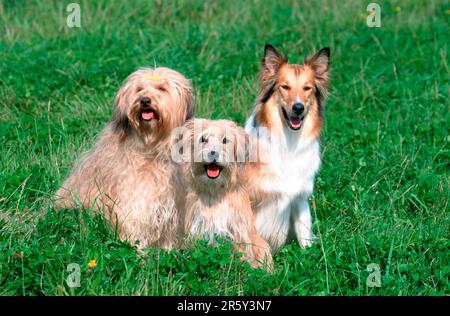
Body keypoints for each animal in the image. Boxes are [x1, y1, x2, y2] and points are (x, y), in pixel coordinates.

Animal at [54, 67, 193, 249]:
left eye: (162, 88)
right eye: (139, 89)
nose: (145, 100)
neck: (152, 145)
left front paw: (169, 250)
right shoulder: (136, 196)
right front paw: (138, 249)